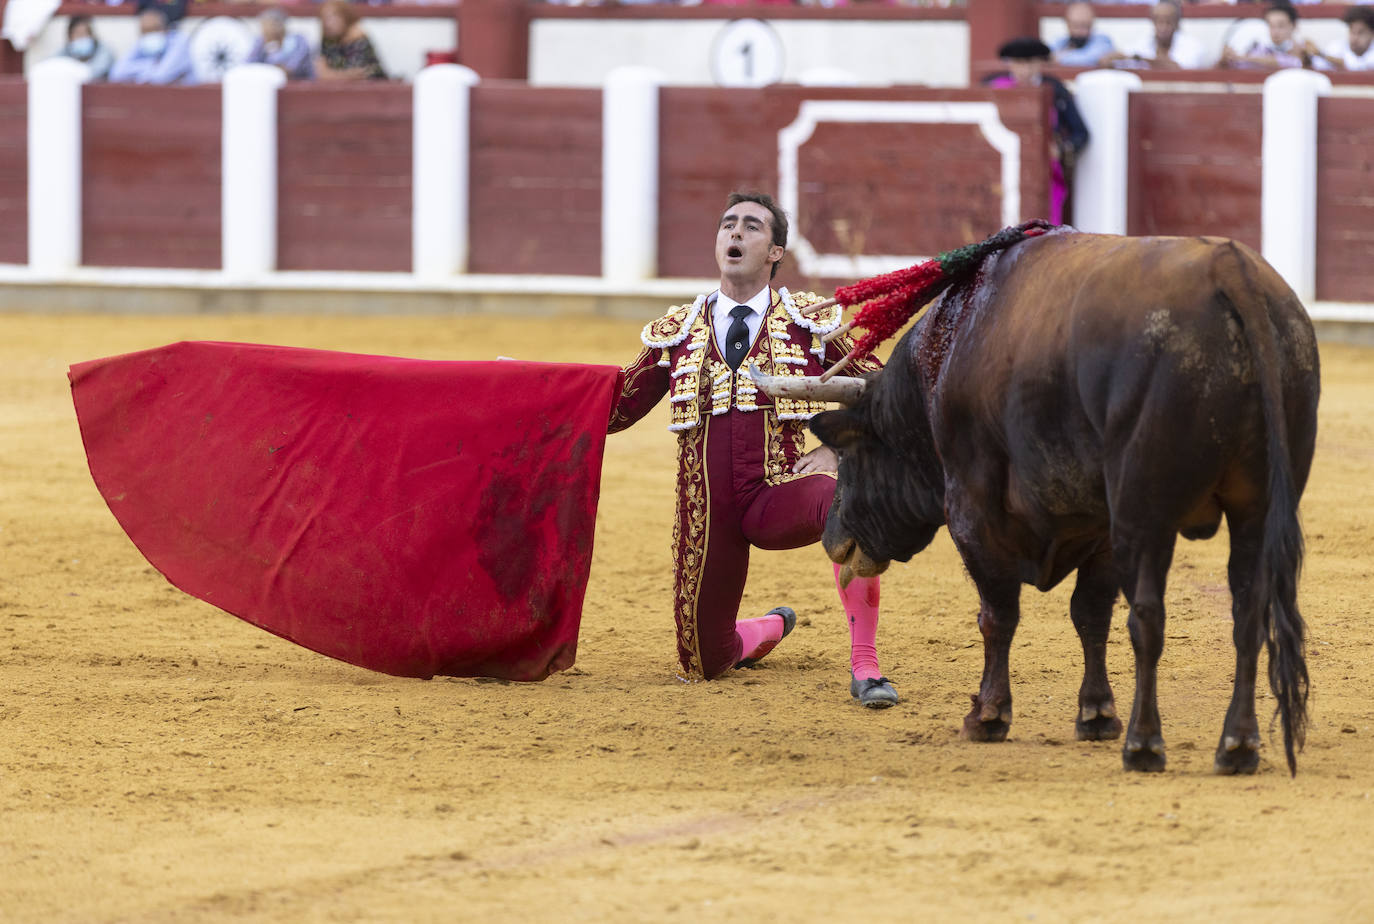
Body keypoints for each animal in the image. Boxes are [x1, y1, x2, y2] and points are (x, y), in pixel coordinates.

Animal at [752, 226, 1319, 775]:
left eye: (849, 459)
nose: (833, 540)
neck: (946, 354)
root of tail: (1232, 271)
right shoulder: (1100, 527)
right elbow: (1090, 613)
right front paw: (1095, 714)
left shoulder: (973, 513)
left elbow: (997, 614)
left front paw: (987, 715)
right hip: (1256, 509)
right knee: (1249, 611)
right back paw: (1237, 746)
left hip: (1146, 514)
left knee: (1149, 618)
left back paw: (1144, 745)